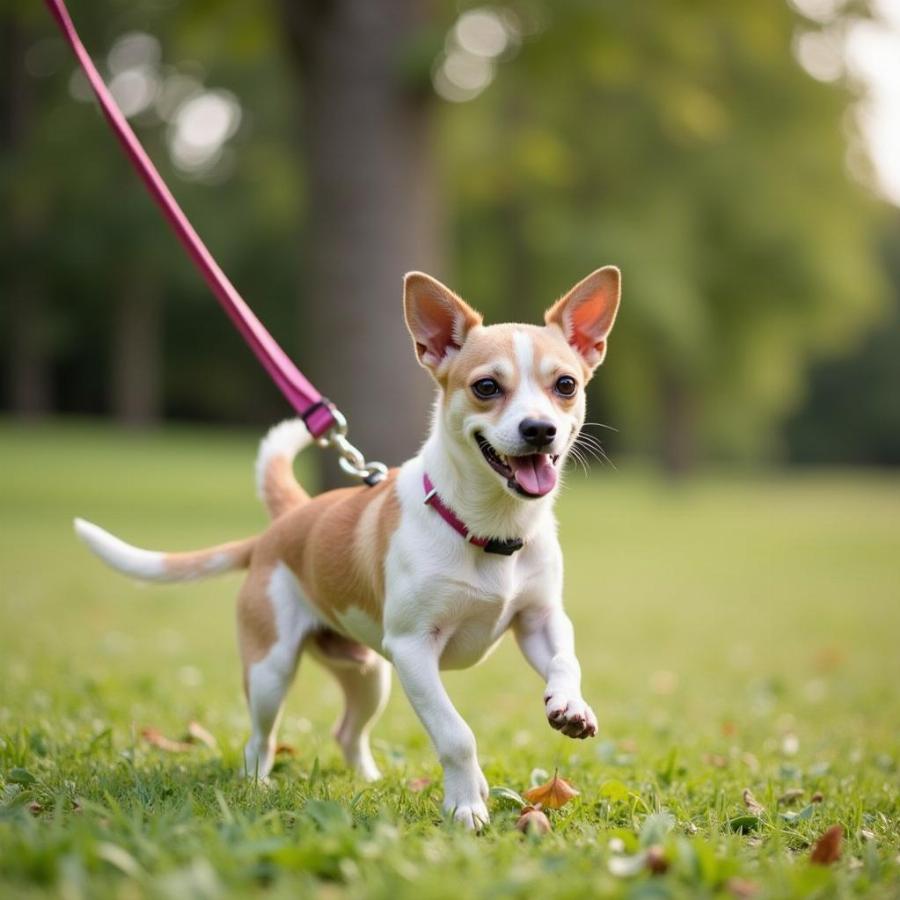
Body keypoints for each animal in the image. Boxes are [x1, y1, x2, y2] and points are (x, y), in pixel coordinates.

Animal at [75, 268, 620, 828]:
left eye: (565, 385)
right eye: (486, 387)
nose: (540, 430)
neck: (488, 529)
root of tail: (286, 522)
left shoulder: (539, 620)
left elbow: (566, 660)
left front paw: (569, 706)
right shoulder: (413, 650)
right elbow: (455, 734)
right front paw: (466, 805)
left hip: (368, 674)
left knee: (346, 731)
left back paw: (369, 780)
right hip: (273, 671)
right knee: (260, 738)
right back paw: (257, 786)